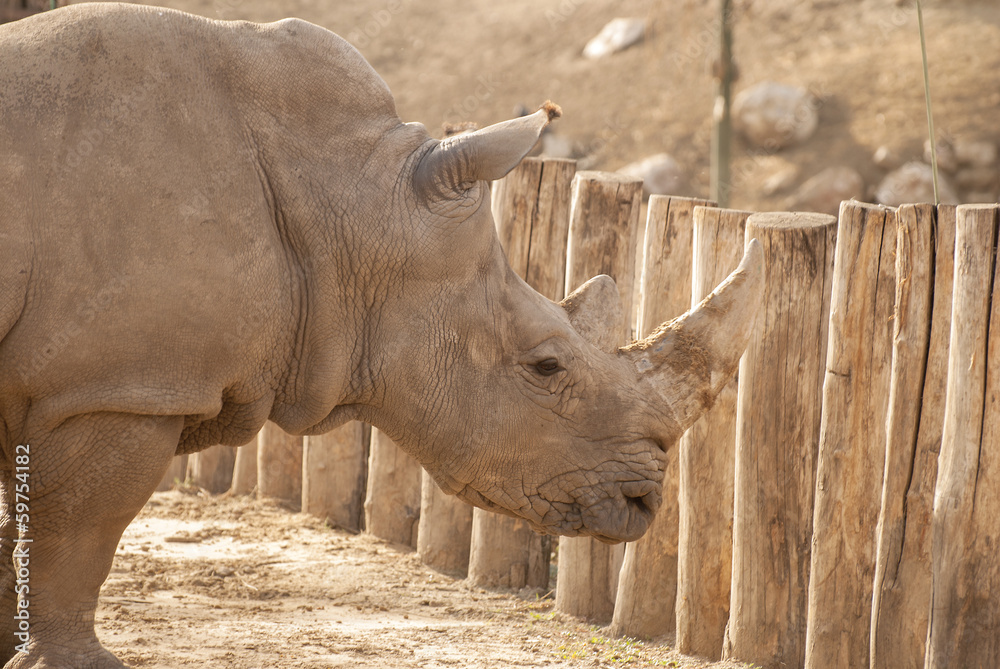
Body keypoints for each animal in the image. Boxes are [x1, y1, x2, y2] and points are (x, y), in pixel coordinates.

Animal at [0, 3, 762, 668]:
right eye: (546, 366)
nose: (643, 501)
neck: (351, 197)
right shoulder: (118, 385)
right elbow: (76, 532)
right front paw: (71, 663)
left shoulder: (82, 383)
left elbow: (26, 528)